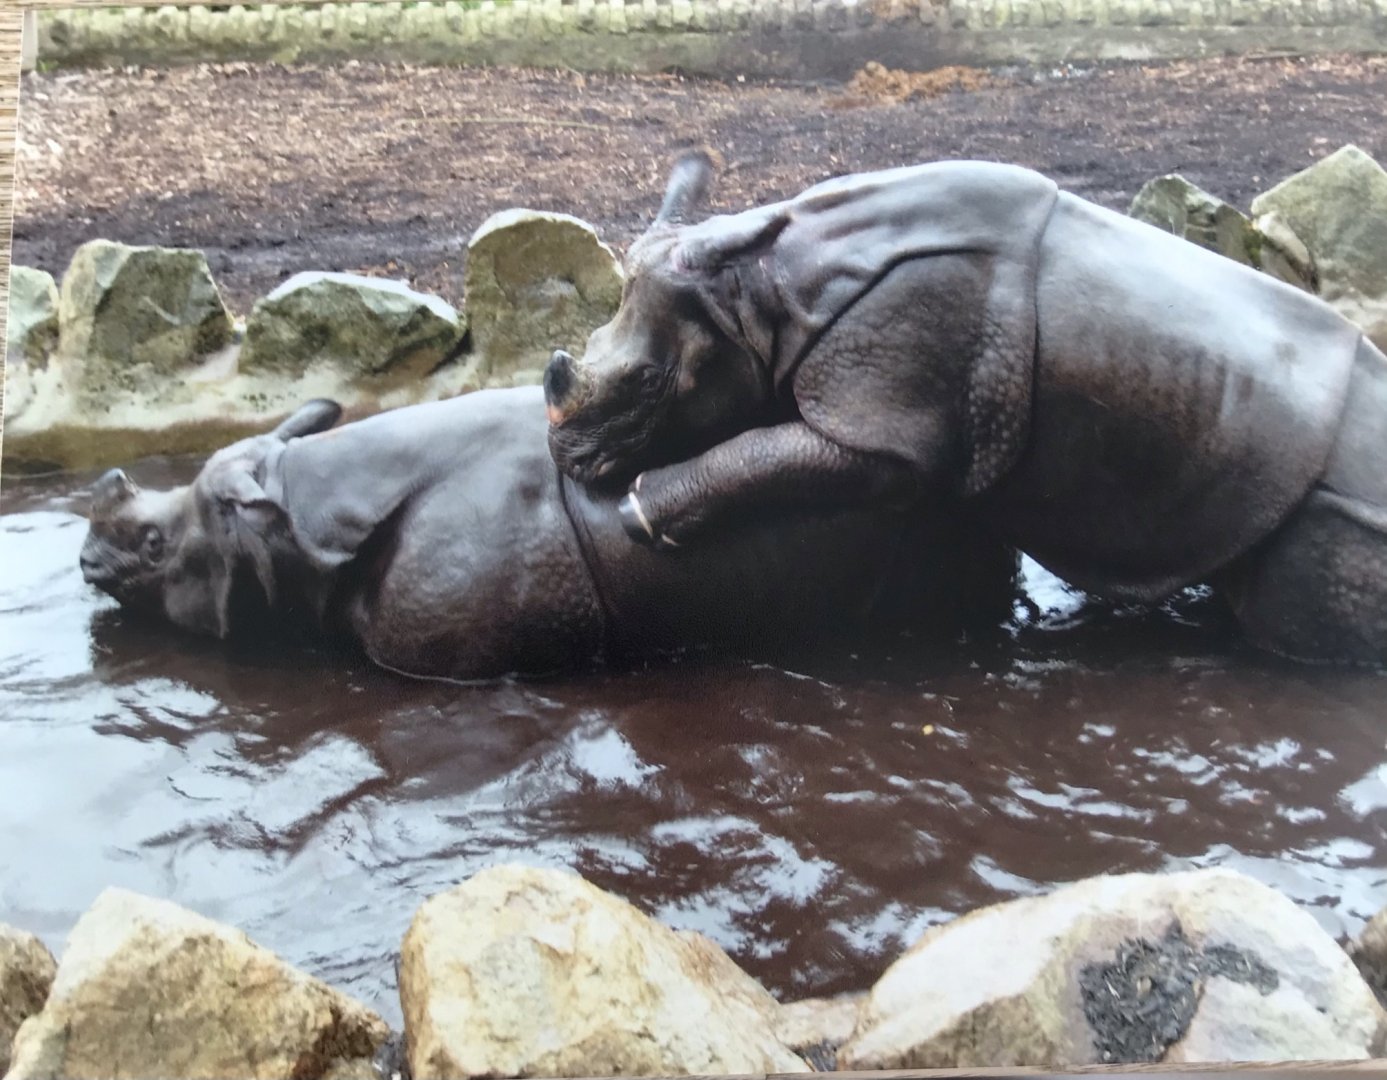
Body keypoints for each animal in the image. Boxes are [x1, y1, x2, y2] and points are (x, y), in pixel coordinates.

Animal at [543, 153, 1387, 663]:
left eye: (647, 383)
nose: (568, 460)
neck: (758, 295)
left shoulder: (883, 423)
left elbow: (768, 454)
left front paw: (637, 515)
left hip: (1337, 511)